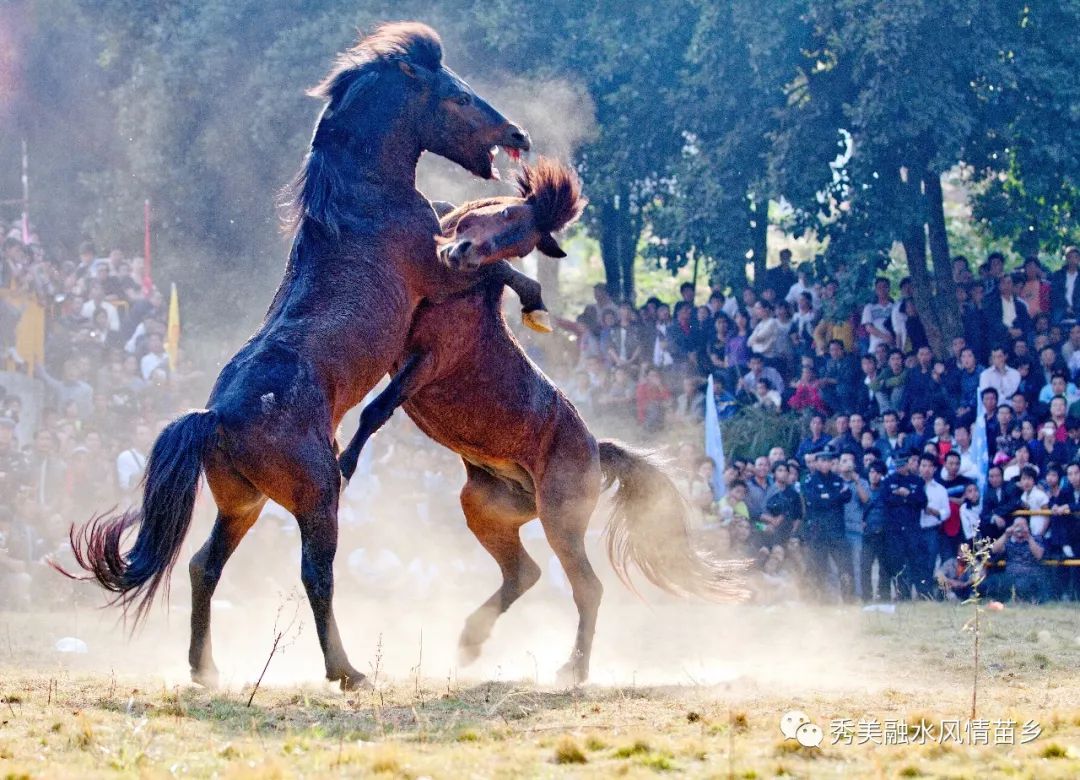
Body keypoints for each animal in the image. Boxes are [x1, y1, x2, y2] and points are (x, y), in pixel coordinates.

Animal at [61, 21, 529, 687]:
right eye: (458, 97)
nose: (518, 135)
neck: (364, 199)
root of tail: (214, 418)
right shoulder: (437, 270)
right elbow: (485, 262)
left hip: (244, 503)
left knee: (204, 564)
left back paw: (206, 668)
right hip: (316, 498)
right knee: (315, 572)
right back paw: (346, 670)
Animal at [341, 159, 747, 682]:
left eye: (521, 241)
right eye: (506, 212)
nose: (462, 253)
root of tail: (597, 449)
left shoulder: (427, 361)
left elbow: (377, 408)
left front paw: (345, 463)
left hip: (560, 518)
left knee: (587, 587)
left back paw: (572, 668)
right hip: (485, 506)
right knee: (525, 572)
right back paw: (472, 641)